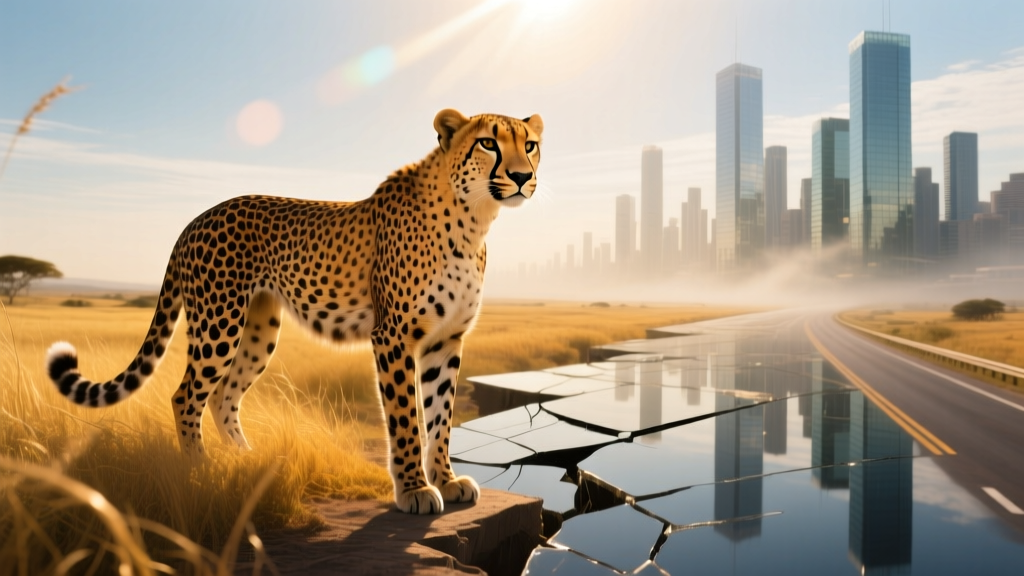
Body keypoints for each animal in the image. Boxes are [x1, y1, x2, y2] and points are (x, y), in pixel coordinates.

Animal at [45, 109, 543, 514]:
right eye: (489, 143)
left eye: (530, 144)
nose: (522, 177)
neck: (474, 217)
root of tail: (196, 219)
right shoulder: (395, 336)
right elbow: (407, 418)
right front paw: (415, 491)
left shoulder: (446, 339)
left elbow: (440, 417)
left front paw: (446, 479)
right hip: (218, 323)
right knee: (186, 395)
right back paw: (201, 470)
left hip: (259, 329)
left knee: (223, 395)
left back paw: (246, 461)